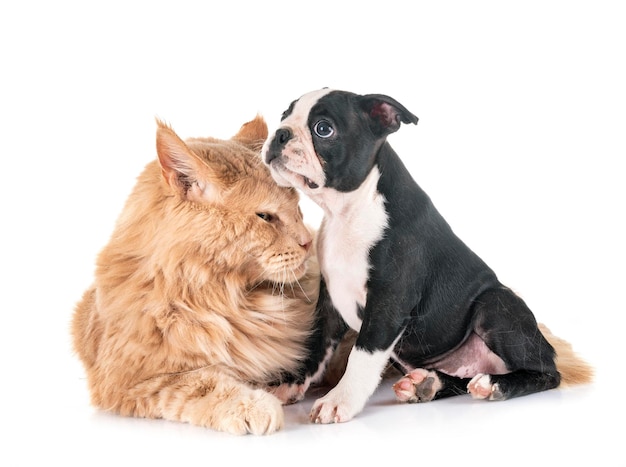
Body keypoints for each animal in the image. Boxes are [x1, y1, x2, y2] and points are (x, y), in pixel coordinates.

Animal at [72, 116, 326, 436]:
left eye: (297, 208)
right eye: (265, 217)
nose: (307, 242)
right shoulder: (131, 380)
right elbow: (199, 383)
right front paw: (254, 405)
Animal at [260, 89, 560, 426]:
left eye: (323, 129)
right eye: (284, 115)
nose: (280, 133)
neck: (347, 212)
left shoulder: (388, 302)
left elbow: (361, 355)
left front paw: (339, 401)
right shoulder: (329, 302)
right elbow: (316, 347)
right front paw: (287, 385)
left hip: (495, 304)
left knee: (547, 373)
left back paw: (495, 385)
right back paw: (428, 385)